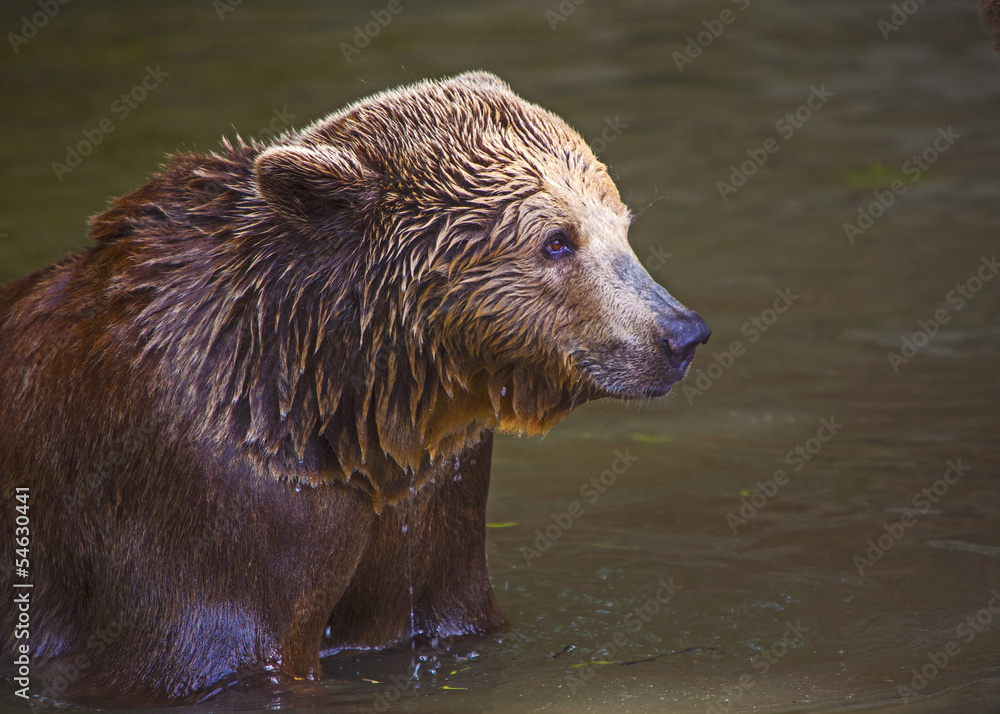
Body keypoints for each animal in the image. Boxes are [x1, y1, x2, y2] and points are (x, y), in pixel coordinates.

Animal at [0, 71, 709, 706]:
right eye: (557, 241)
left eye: (621, 224)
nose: (681, 334)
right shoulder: (205, 505)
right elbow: (200, 661)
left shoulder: (435, 496)